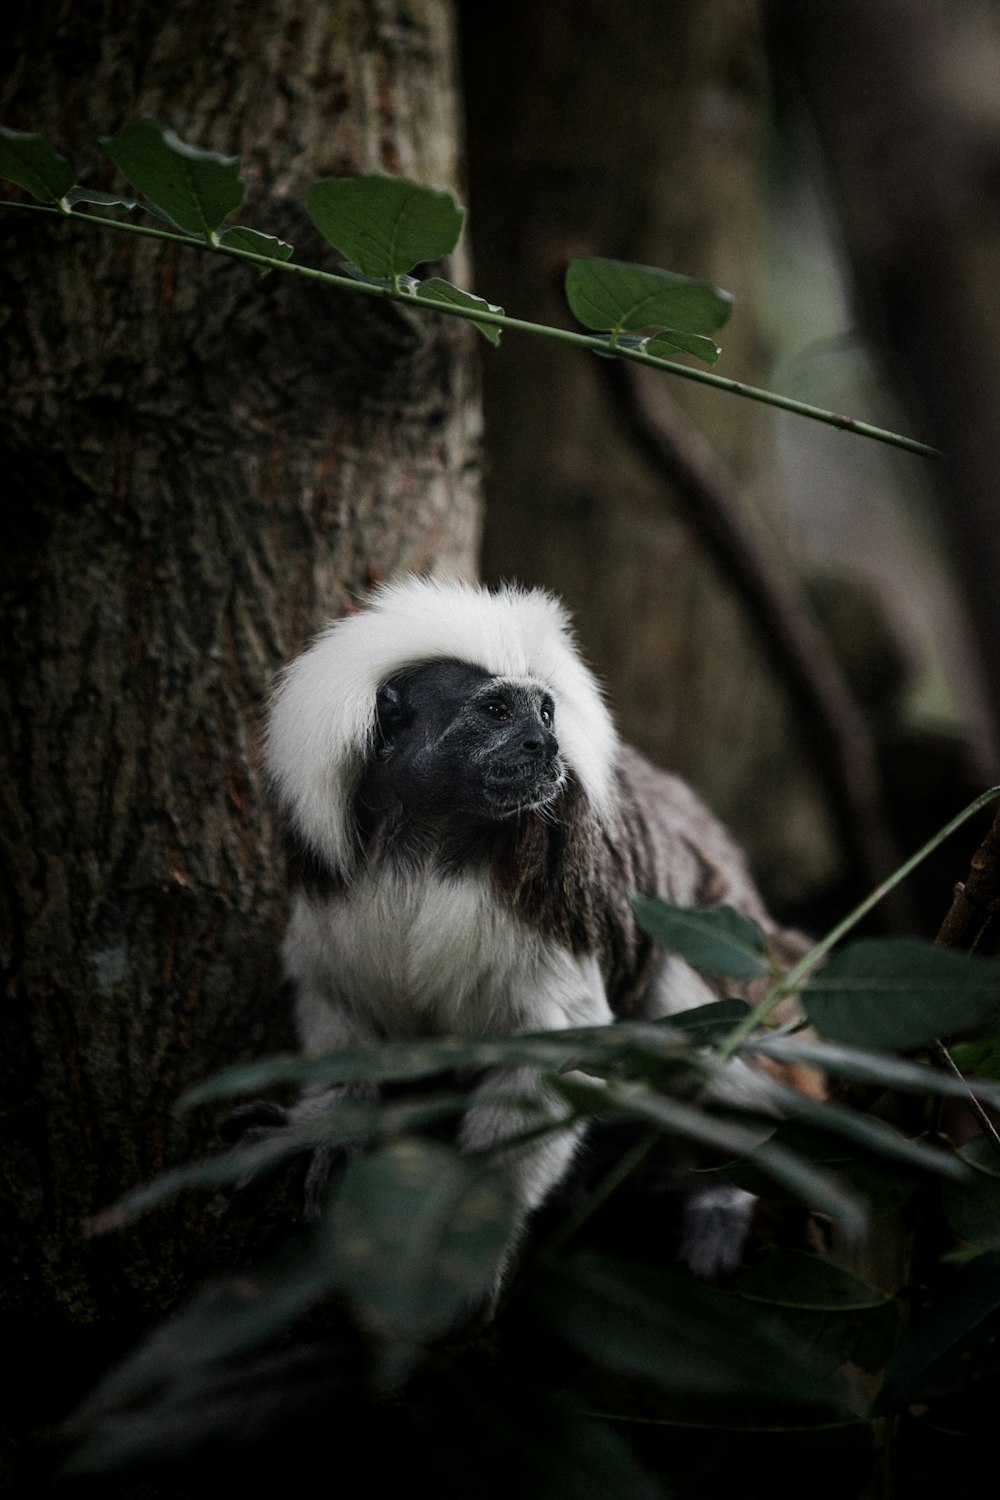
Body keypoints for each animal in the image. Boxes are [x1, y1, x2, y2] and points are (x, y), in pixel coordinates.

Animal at [262, 573, 809, 1278]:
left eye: (545, 715)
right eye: (497, 711)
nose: (544, 746)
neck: (429, 841)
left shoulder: (554, 903)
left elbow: (555, 1055)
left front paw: (475, 1227)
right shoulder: (332, 887)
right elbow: (338, 1004)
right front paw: (326, 1129)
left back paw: (722, 1191)